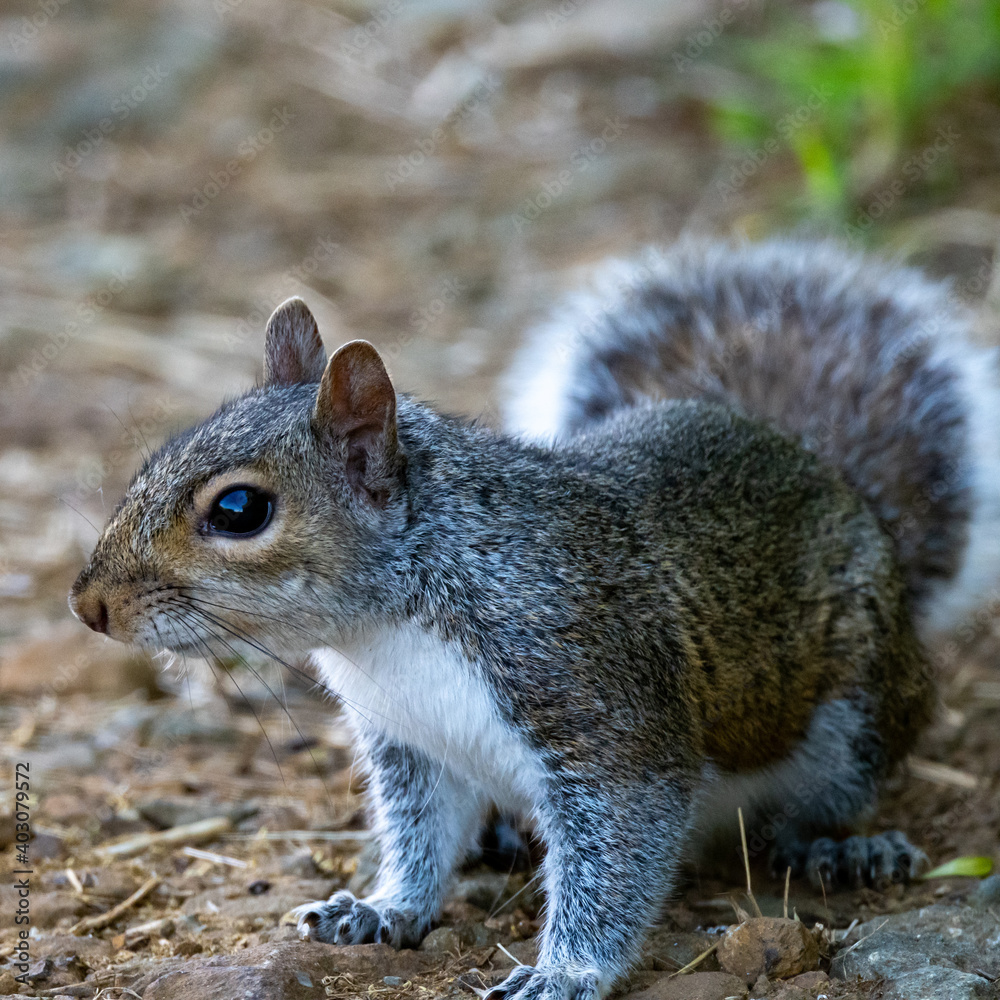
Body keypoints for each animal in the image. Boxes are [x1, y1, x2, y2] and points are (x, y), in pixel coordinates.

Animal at [68, 238, 1000, 996]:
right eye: (156, 456)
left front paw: (565, 974)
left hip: (856, 712)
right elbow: (419, 838)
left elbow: (615, 849)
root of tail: (842, 486)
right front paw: (382, 908)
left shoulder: (593, 697)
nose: (88, 605)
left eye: (239, 510)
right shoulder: (409, 744)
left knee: (822, 802)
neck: (387, 629)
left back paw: (843, 847)